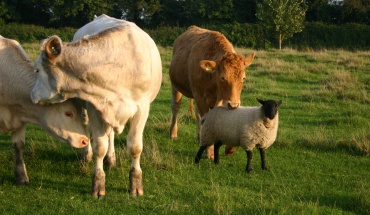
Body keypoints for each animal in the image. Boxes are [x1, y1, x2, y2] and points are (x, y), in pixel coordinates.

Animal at [31, 14, 164, 197]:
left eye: (37, 70)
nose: (31, 94)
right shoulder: (94, 107)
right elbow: (99, 147)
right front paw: (98, 184)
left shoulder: (142, 109)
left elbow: (135, 147)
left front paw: (136, 183)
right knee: (88, 129)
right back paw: (86, 156)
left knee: (111, 134)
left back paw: (111, 159)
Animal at [170, 26, 254, 159]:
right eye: (223, 78)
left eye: (243, 78)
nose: (234, 104)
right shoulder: (200, 96)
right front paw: (209, 152)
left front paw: (229, 148)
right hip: (176, 87)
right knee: (176, 107)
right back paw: (173, 133)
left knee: (198, 115)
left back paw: (200, 137)